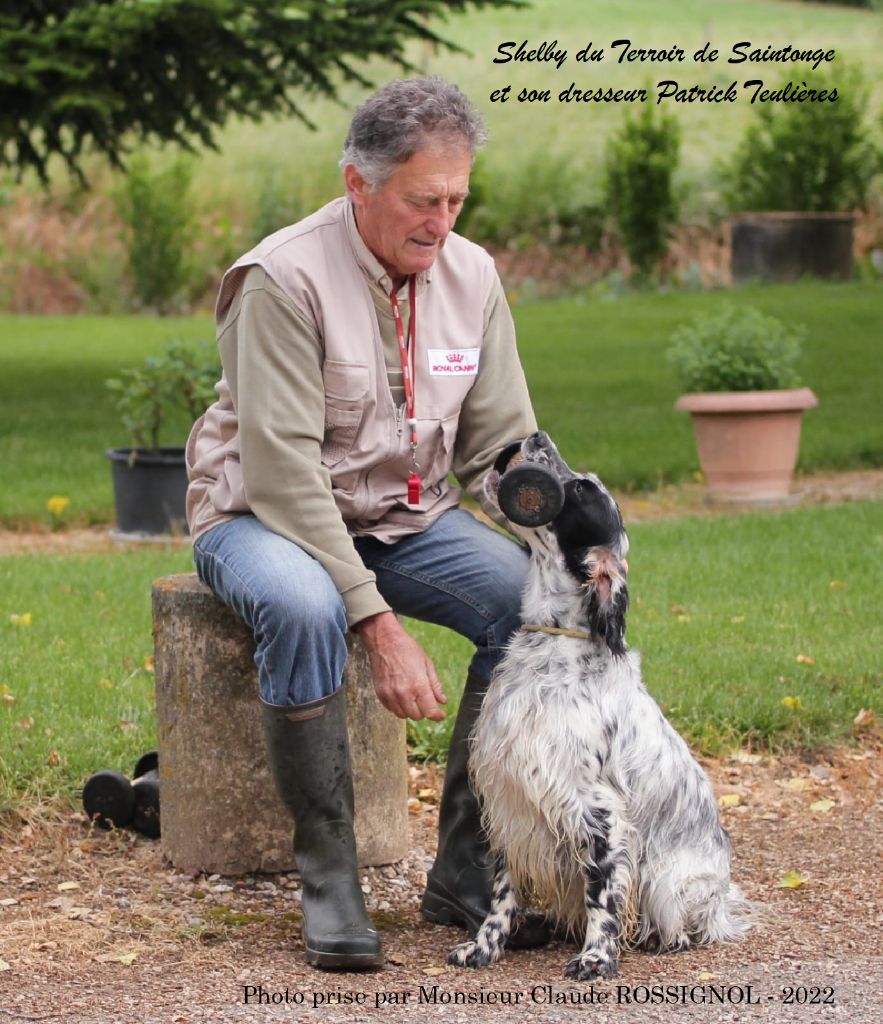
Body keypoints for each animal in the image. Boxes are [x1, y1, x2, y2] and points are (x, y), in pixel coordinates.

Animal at [452, 430, 749, 974]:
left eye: (582, 489)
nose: (535, 435)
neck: (552, 646)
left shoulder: (599, 810)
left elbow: (603, 894)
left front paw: (596, 956)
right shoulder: (510, 799)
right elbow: (502, 892)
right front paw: (483, 946)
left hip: (675, 883)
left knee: (685, 925)